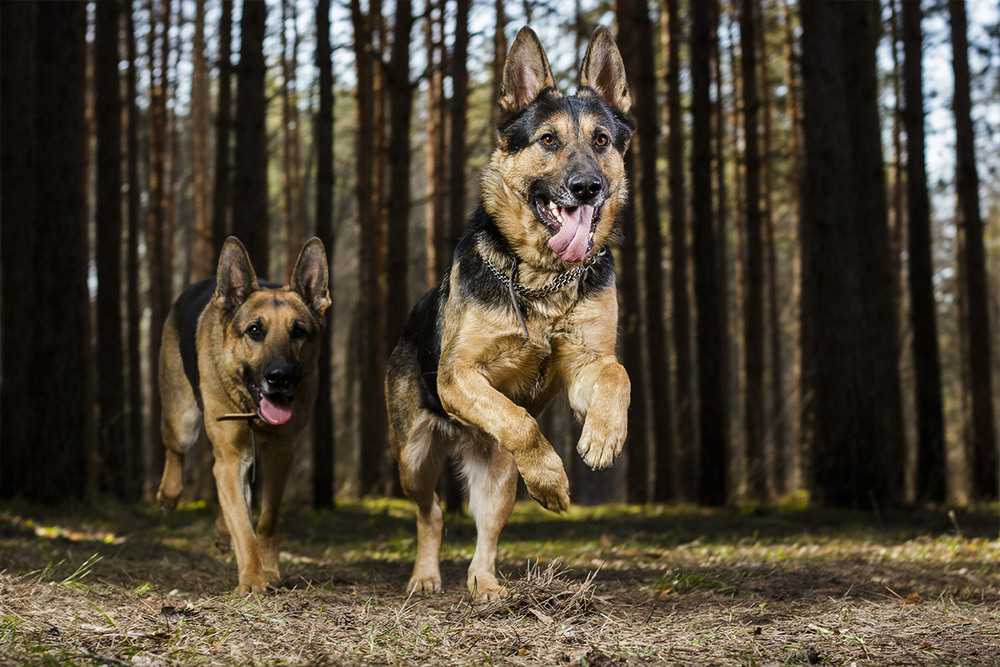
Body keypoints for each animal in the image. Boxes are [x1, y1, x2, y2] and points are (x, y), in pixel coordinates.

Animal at [154, 239, 330, 596]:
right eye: (254, 330)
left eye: (299, 332)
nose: (280, 377)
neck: (252, 409)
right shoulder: (232, 456)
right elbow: (244, 526)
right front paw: (252, 578)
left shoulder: (279, 454)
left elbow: (264, 520)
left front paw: (270, 570)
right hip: (182, 421)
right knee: (176, 451)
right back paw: (169, 494)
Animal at [384, 26, 632, 604]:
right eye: (548, 141)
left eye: (601, 141)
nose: (587, 187)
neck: (543, 281)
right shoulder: (459, 376)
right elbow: (520, 421)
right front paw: (555, 479)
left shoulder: (585, 367)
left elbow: (617, 374)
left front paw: (604, 436)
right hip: (413, 458)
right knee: (431, 513)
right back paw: (426, 577)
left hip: (498, 476)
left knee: (486, 531)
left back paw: (486, 585)